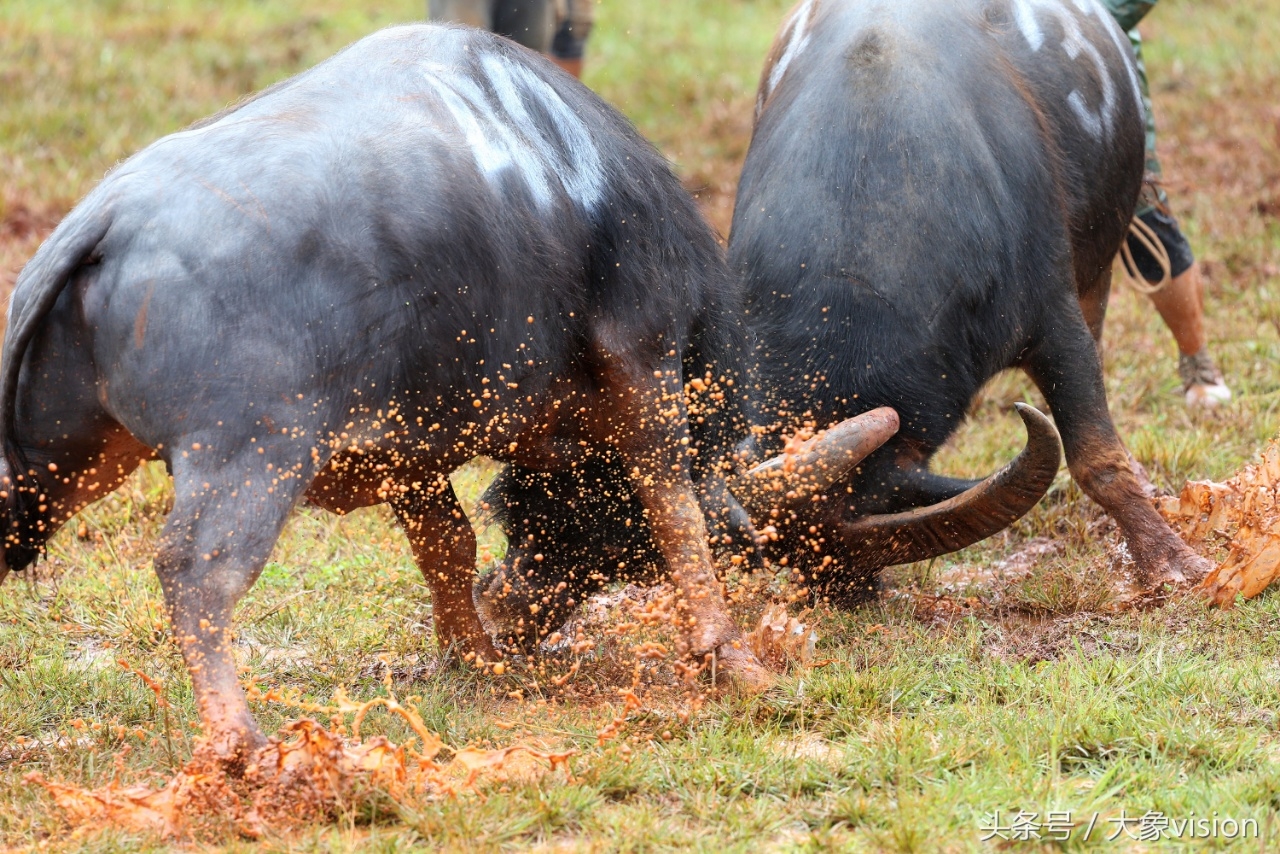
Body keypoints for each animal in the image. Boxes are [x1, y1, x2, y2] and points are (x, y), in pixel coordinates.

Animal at [0, 23, 829, 763]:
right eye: (608, 553)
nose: (519, 613)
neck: (574, 176)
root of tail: (108, 218)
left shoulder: (408, 448)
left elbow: (449, 544)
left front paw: (475, 654)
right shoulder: (645, 358)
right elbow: (676, 512)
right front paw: (733, 660)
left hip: (51, 466)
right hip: (249, 455)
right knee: (195, 574)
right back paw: (243, 745)